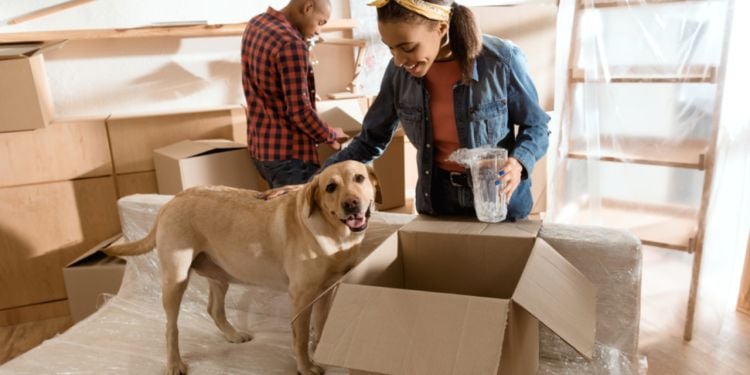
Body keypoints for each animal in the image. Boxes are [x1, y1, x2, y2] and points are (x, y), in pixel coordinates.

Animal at [106, 162, 382, 375]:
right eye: (330, 187)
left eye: (359, 178)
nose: (351, 204)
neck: (335, 233)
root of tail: (172, 200)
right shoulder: (301, 297)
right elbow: (301, 338)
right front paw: (305, 366)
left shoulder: (328, 290)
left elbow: (321, 325)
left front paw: (321, 349)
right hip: (176, 280)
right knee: (170, 327)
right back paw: (174, 363)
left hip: (219, 275)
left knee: (214, 309)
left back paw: (233, 335)